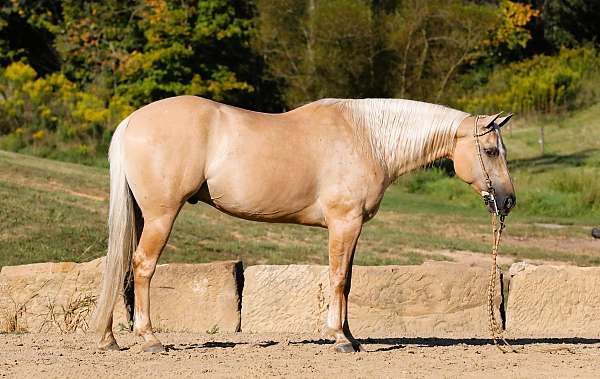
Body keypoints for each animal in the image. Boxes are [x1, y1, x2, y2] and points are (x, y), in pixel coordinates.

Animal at [94, 96, 516, 354]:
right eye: (491, 150)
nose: (508, 201)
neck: (368, 139)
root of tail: (132, 121)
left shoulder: (352, 227)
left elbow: (348, 280)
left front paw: (351, 337)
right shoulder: (344, 223)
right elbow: (338, 278)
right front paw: (339, 338)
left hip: (143, 216)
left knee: (122, 266)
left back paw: (110, 338)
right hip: (161, 215)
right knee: (142, 267)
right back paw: (150, 339)